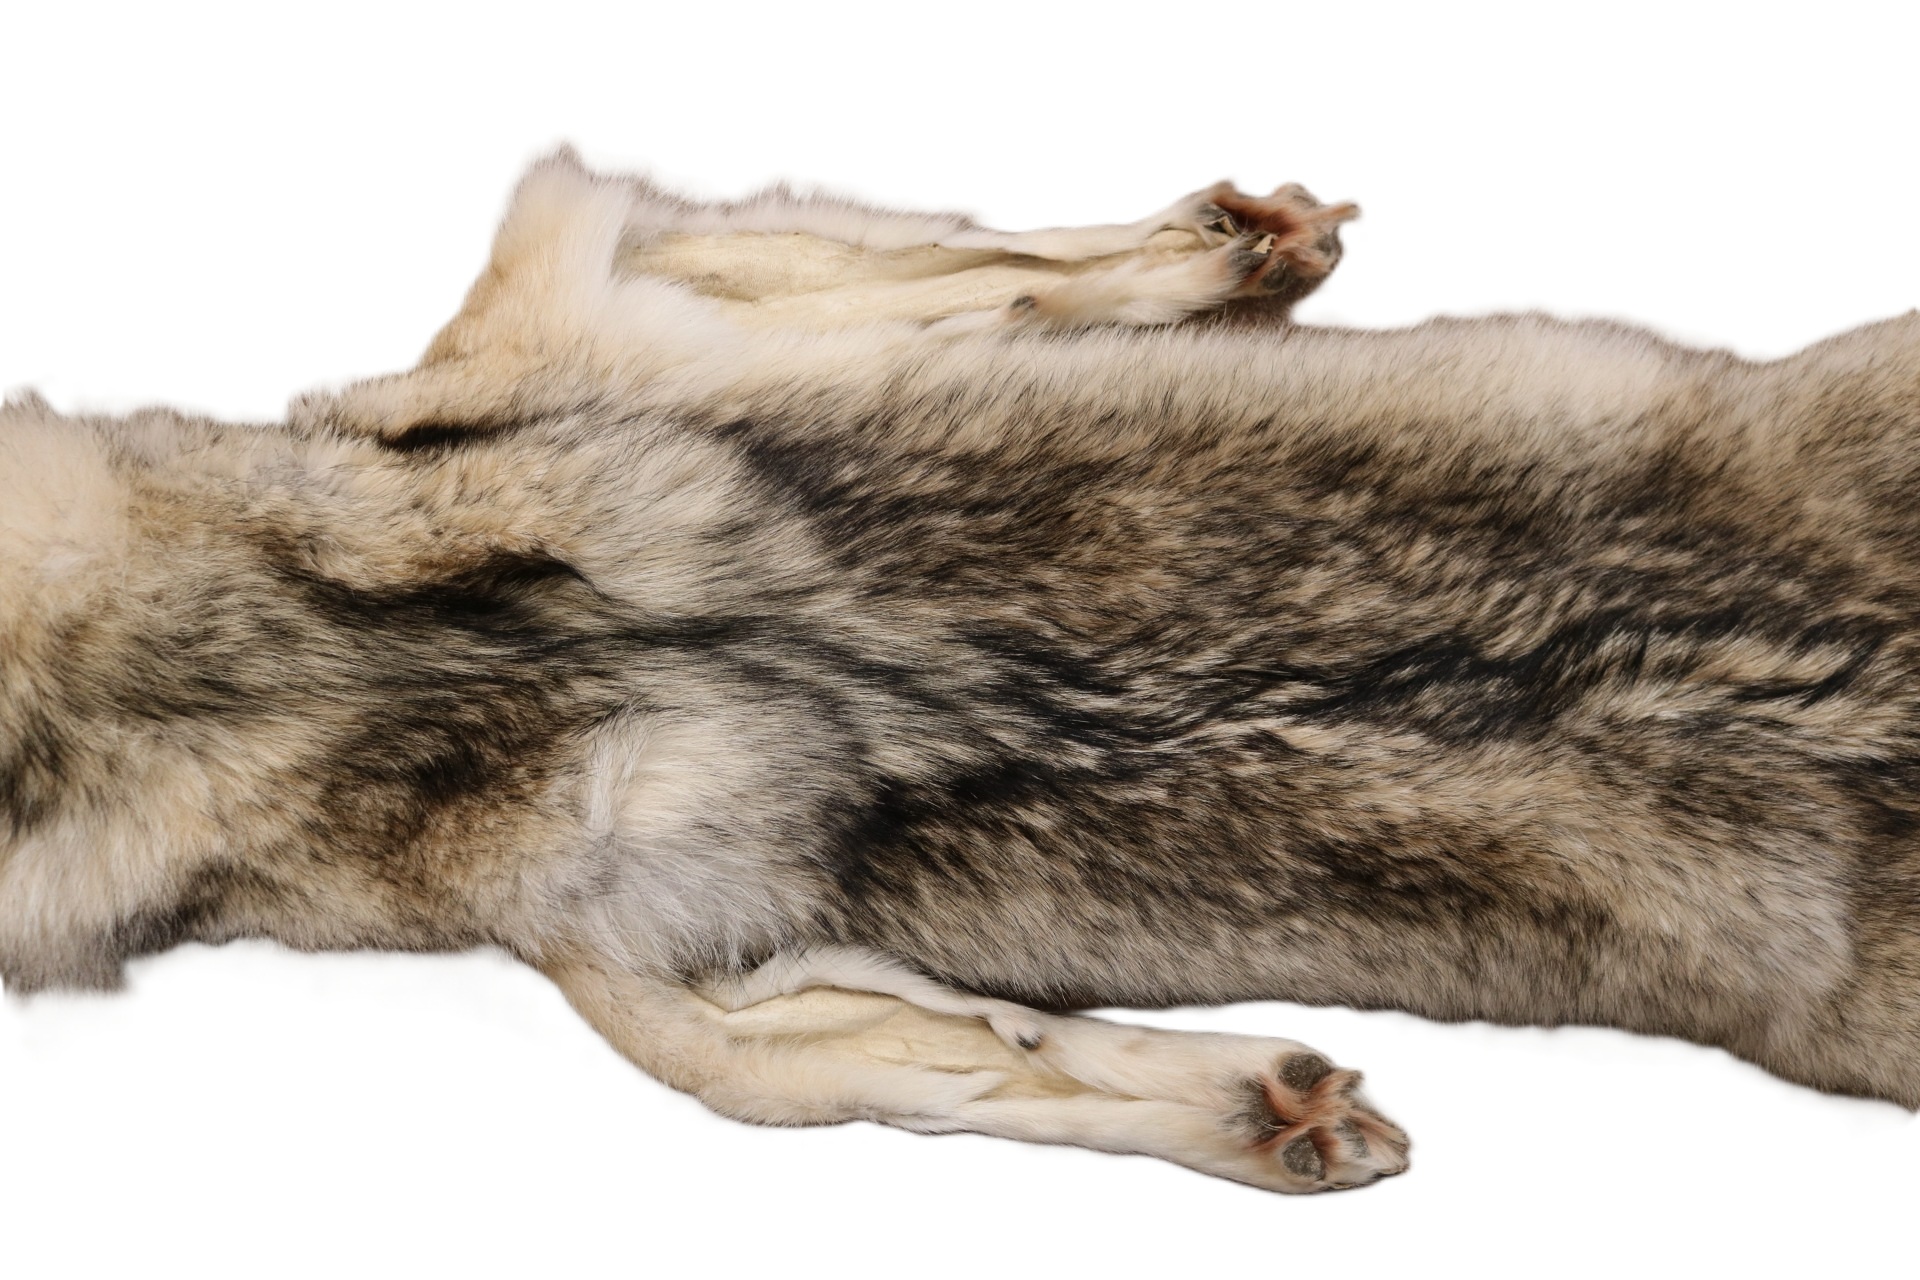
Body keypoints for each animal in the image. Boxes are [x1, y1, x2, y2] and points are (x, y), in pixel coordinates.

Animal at [4, 149, 1917, 1192]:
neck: (257, 653)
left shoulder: (561, 307)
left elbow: (955, 263)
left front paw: (1237, 245)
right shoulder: (669, 986)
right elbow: (973, 1063)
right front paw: (1273, 1112)